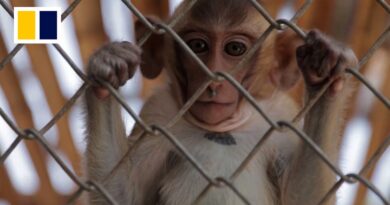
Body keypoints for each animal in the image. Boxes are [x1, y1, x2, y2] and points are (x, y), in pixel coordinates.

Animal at [84, 0, 358, 204]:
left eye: (235, 48)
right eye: (198, 45)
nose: (214, 81)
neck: (222, 129)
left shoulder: (282, 117)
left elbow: (303, 199)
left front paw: (324, 73)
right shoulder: (157, 114)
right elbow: (119, 196)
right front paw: (107, 67)